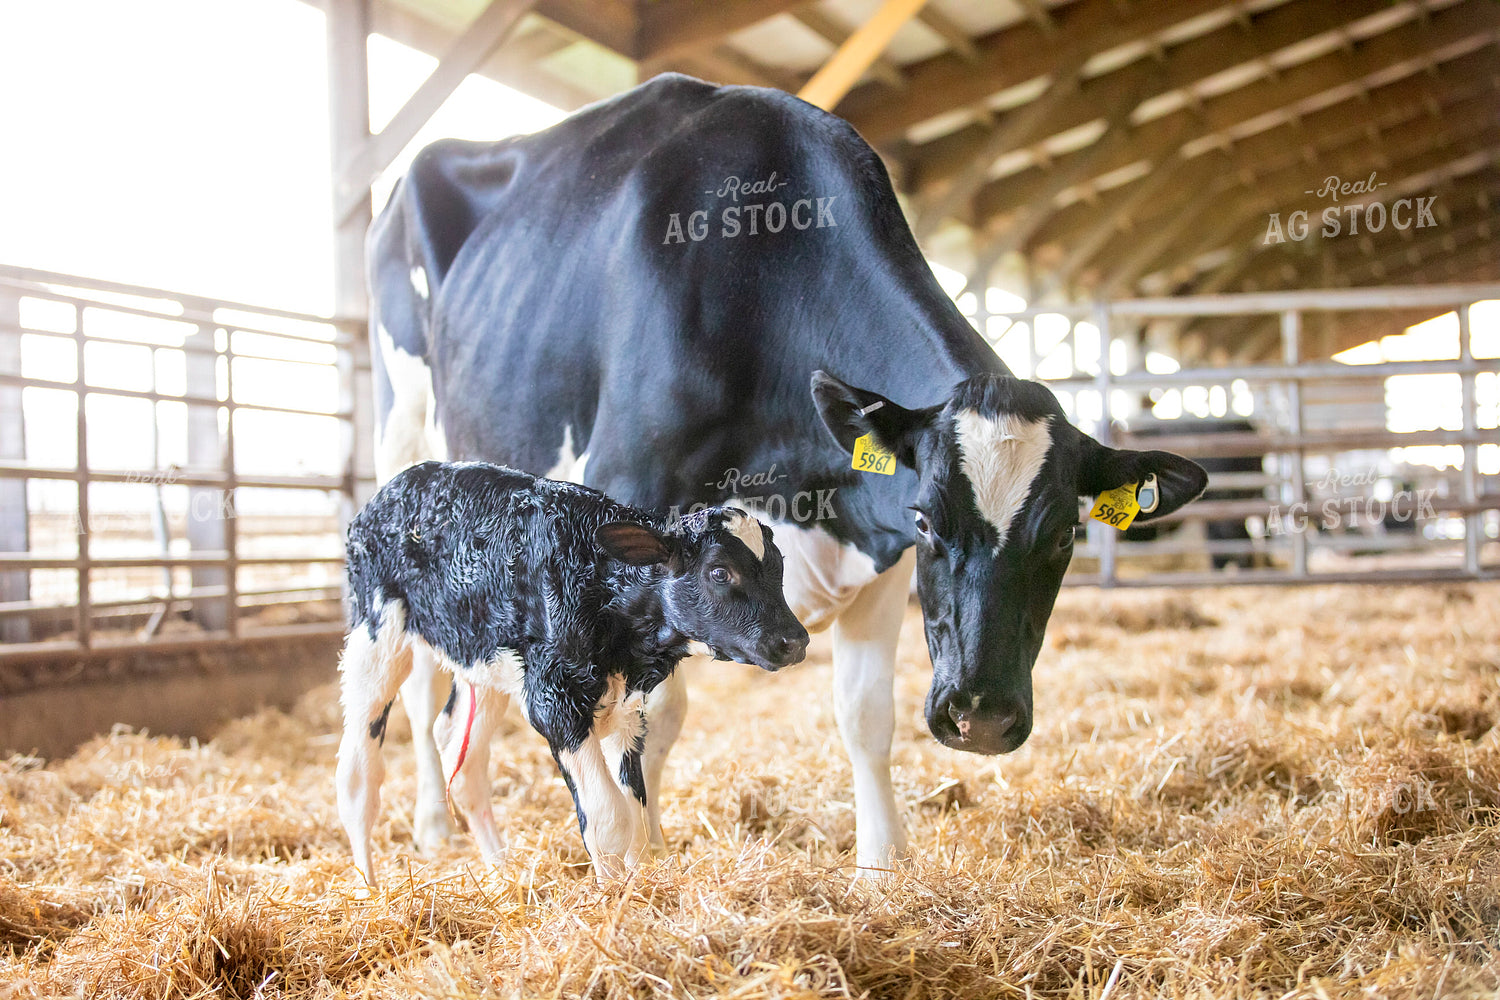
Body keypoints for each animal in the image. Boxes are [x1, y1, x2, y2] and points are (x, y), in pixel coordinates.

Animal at [337, 460, 808, 884]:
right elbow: (610, 818)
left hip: (485, 662)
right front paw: (615, 898)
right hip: (376, 635)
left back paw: (504, 874)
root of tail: (396, 485)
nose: (795, 640)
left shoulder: (627, 708)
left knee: (460, 751)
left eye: (780, 568)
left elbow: (635, 814)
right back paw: (368, 889)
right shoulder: (555, 703)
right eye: (719, 572)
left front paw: (640, 888)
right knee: (358, 773)